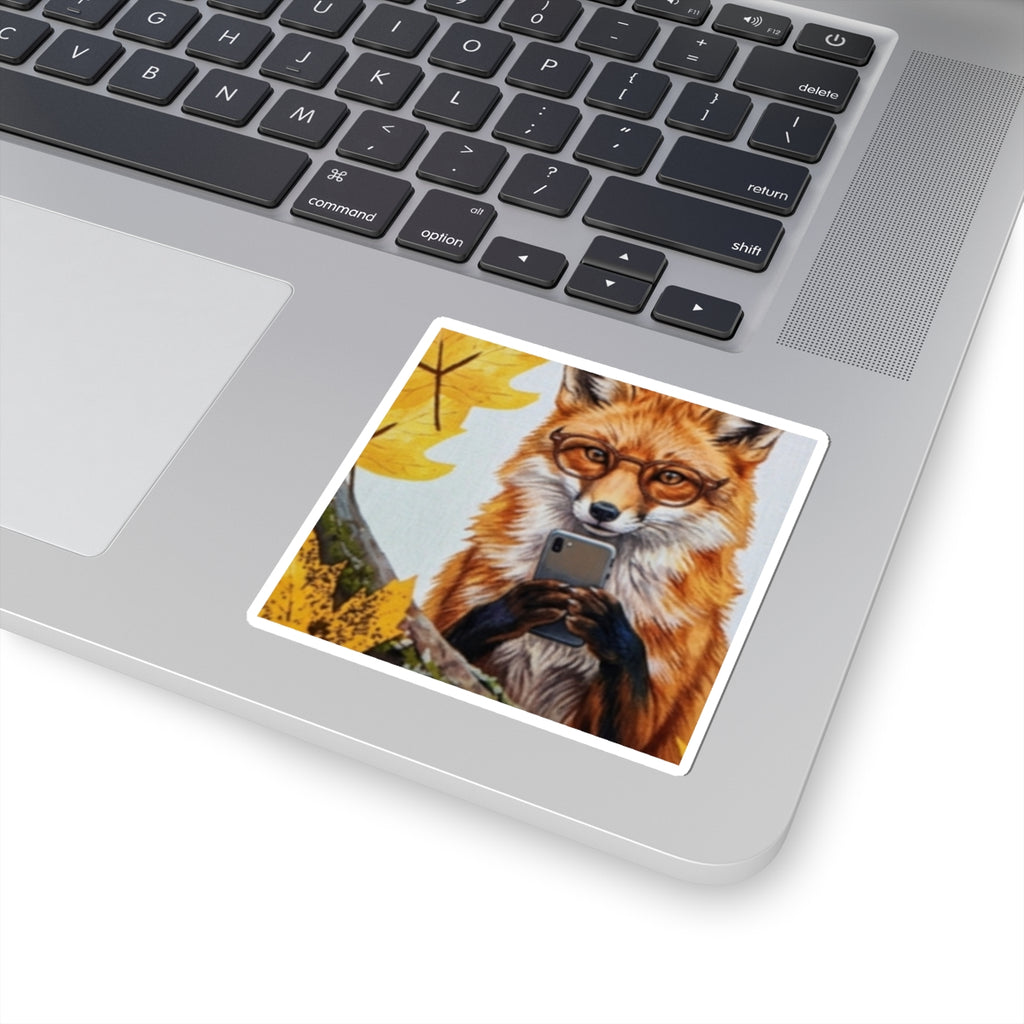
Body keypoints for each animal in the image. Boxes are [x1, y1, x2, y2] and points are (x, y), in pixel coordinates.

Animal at [423, 367, 781, 762]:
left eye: (670, 478)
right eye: (596, 454)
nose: (604, 511)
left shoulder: (642, 728)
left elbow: (629, 708)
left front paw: (614, 631)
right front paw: (510, 610)